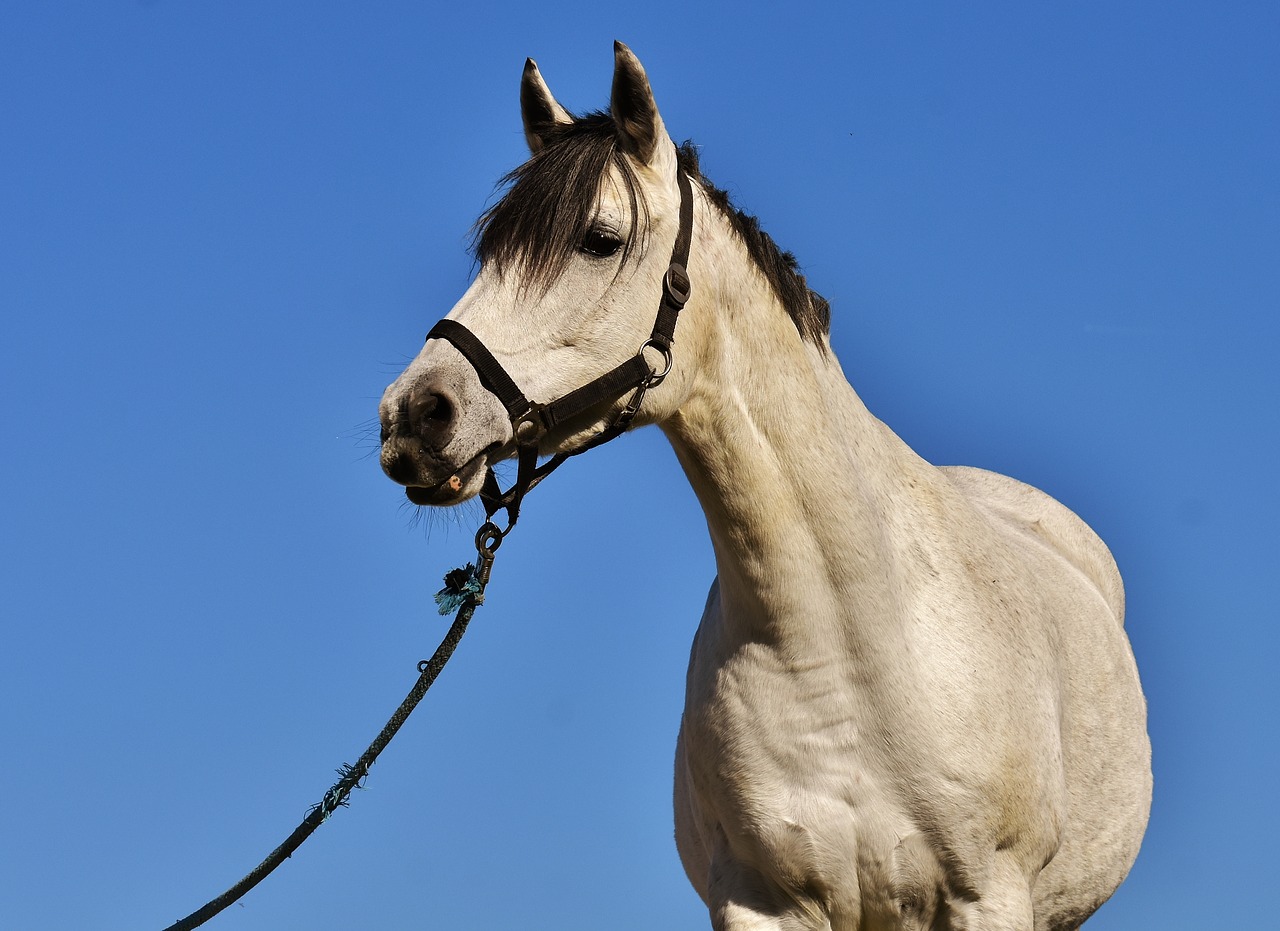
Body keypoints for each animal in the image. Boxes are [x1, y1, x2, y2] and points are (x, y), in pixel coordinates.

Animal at [376, 40, 1152, 927]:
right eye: (490, 253)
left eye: (600, 239)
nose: (414, 415)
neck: (848, 645)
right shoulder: (759, 904)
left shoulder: (988, 895)